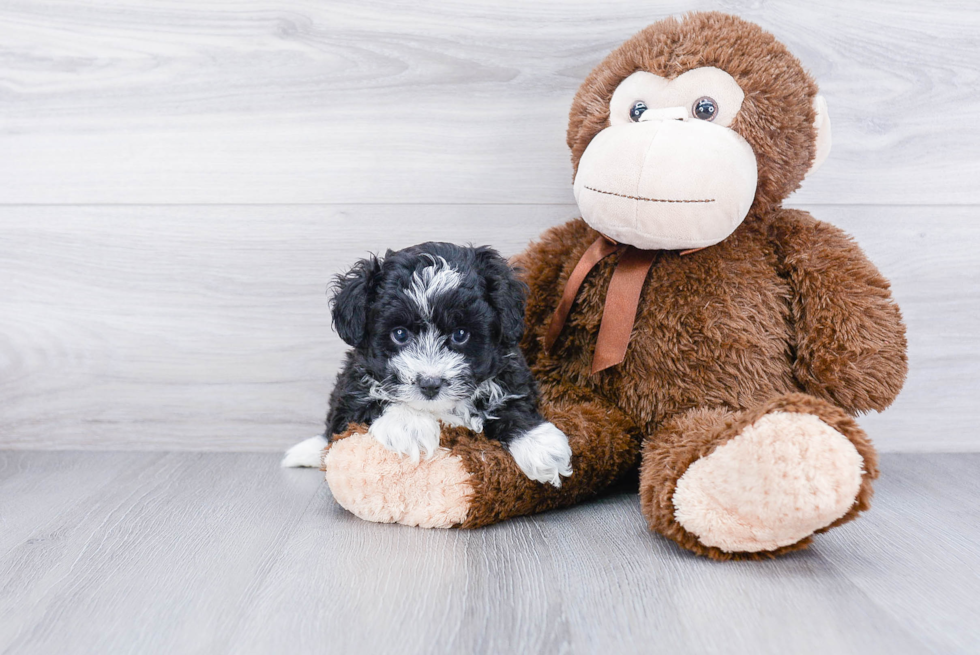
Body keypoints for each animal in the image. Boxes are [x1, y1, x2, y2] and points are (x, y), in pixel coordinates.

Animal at [282, 241, 576, 486]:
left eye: (460, 334)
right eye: (400, 334)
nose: (430, 384)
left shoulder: (511, 373)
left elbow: (513, 405)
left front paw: (541, 445)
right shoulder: (350, 392)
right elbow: (369, 401)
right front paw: (409, 425)